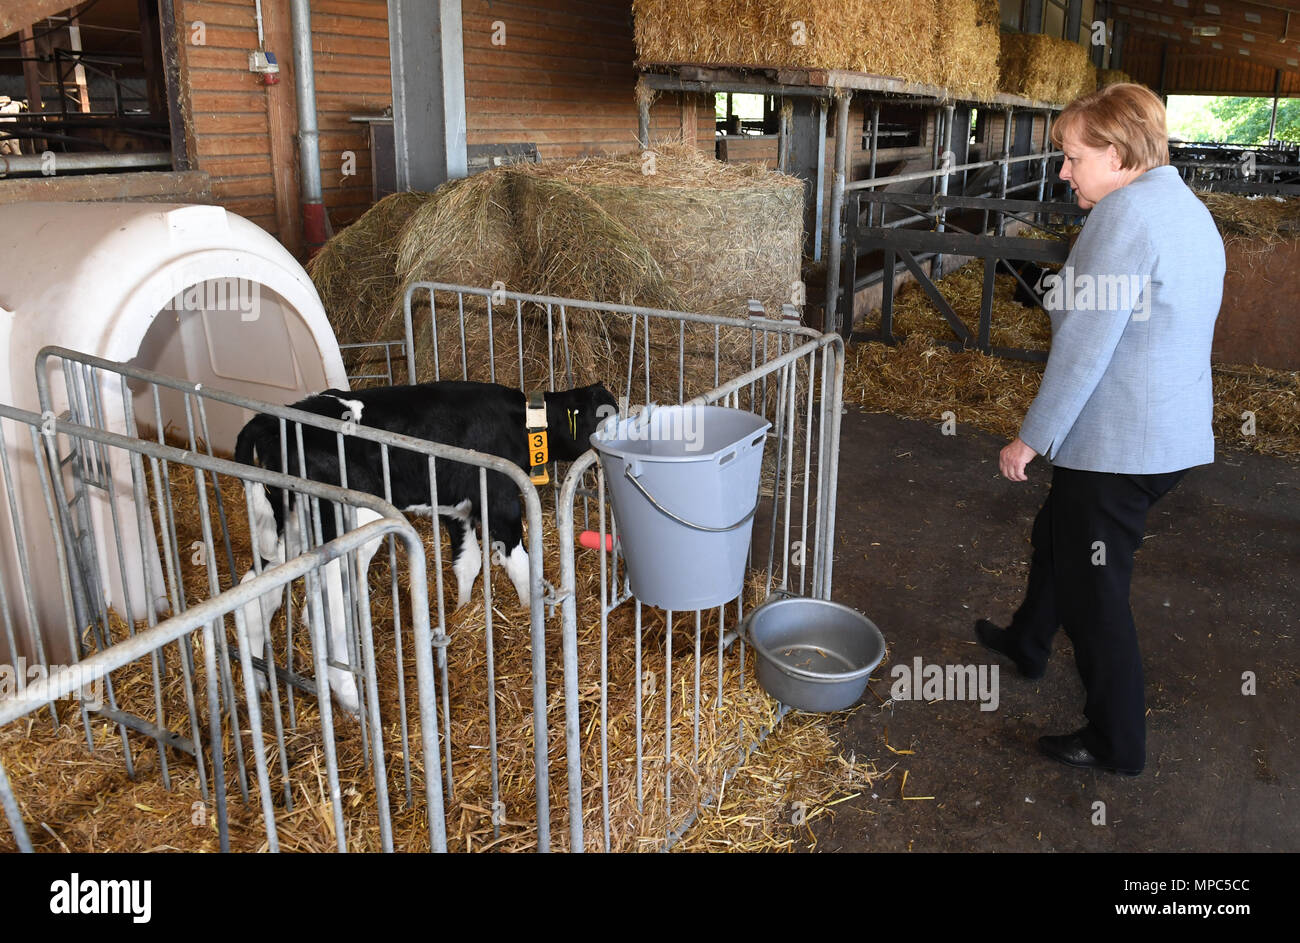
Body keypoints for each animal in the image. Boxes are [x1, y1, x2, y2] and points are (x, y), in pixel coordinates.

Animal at [233, 379, 618, 707]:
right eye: (605, 414)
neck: (522, 421)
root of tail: (269, 421)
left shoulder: (457, 509)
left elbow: (469, 562)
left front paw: (463, 611)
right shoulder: (500, 499)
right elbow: (520, 564)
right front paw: (528, 614)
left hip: (288, 526)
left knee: (256, 591)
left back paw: (258, 682)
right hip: (349, 524)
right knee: (323, 614)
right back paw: (350, 701)